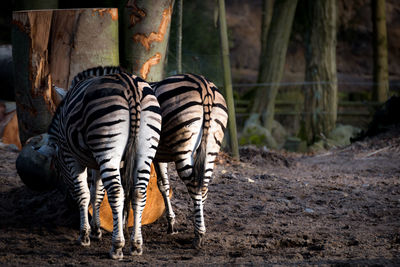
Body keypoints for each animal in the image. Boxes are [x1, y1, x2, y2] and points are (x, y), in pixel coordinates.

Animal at [39, 66, 161, 260]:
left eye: (57, 165)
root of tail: (130, 84)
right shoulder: (98, 163)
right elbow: (96, 194)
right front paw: (97, 231)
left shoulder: (72, 158)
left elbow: (84, 194)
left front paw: (85, 235)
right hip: (145, 149)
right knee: (138, 192)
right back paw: (136, 245)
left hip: (107, 148)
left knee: (117, 192)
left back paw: (117, 247)